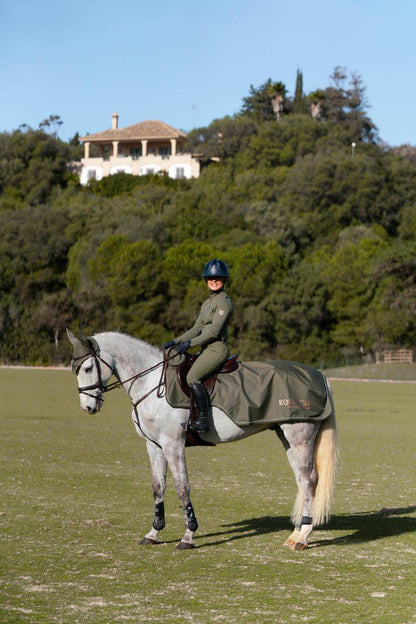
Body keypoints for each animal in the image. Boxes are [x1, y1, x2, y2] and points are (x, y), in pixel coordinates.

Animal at [66, 332, 336, 552]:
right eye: (75, 369)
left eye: (88, 368)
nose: (88, 407)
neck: (151, 383)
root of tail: (319, 375)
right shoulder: (154, 446)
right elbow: (158, 487)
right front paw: (154, 532)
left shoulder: (173, 444)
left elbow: (182, 487)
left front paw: (188, 536)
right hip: (286, 437)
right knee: (302, 481)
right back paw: (296, 534)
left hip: (300, 438)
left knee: (309, 481)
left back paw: (302, 537)